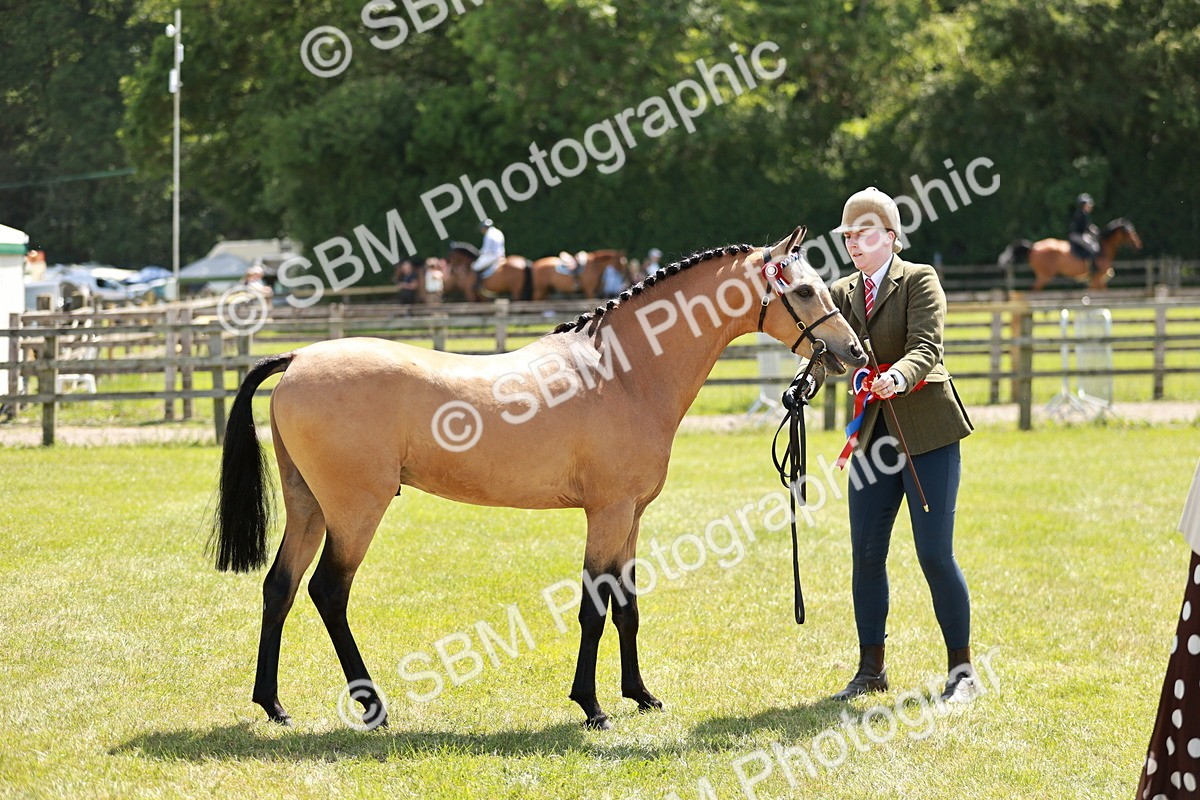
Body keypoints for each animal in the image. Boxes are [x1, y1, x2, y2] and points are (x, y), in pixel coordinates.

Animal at [211, 226, 867, 731]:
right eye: (803, 288)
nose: (854, 353)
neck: (622, 372)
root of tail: (298, 358)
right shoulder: (606, 513)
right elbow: (594, 607)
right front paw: (592, 707)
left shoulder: (631, 516)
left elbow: (627, 606)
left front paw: (641, 695)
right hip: (355, 512)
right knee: (328, 592)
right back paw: (372, 708)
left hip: (308, 507)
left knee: (280, 587)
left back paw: (273, 706)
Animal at [999, 218, 1143, 291]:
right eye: (1129, 232)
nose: (1138, 245)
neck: (1103, 249)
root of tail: (1034, 247)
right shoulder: (1096, 279)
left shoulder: (1100, 280)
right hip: (1044, 276)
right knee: (1034, 290)